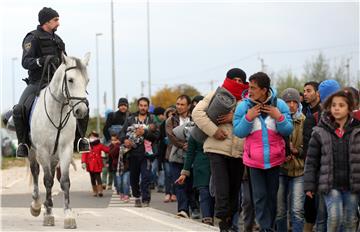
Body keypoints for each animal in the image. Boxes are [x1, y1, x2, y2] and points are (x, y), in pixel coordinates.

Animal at [28, 52, 89, 228]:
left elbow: (65, 181)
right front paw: (48, 214)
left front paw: (68, 216)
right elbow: (47, 180)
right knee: (35, 172)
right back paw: (36, 206)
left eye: (87, 80)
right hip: (33, 152)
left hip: (54, 155)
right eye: (71, 80)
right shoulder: (42, 150)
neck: (57, 112)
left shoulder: (65, 149)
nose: (82, 111)